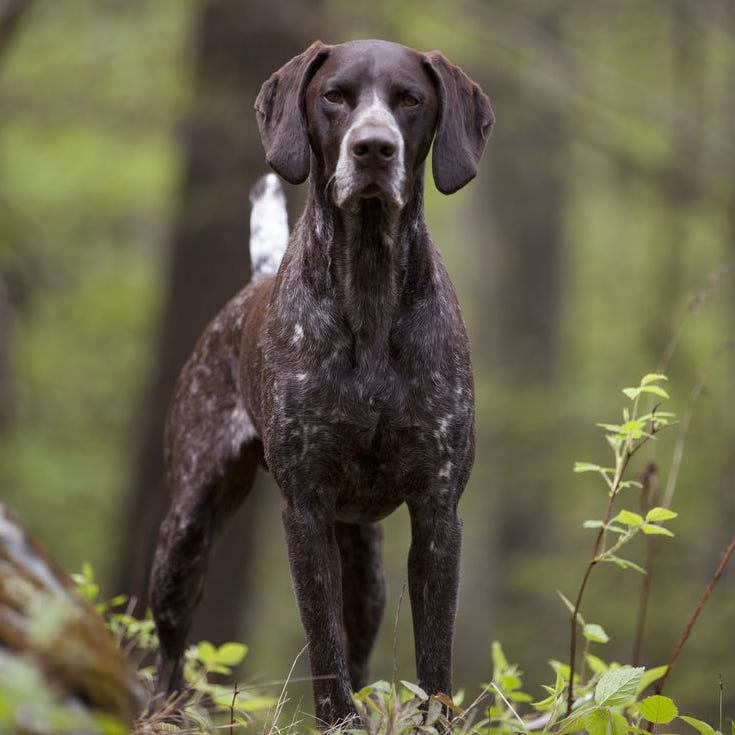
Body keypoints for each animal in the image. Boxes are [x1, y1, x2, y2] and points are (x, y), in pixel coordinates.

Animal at [150, 40, 494, 732]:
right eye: (334, 96)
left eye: (409, 100)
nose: (373, 148)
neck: (369, 285)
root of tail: (247, 288)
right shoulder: (304, 513)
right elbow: (322, 648)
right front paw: (338, 721)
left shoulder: (438, 513)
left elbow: (434, 658)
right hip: (187, 531)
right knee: (165, 657)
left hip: (367, 571)